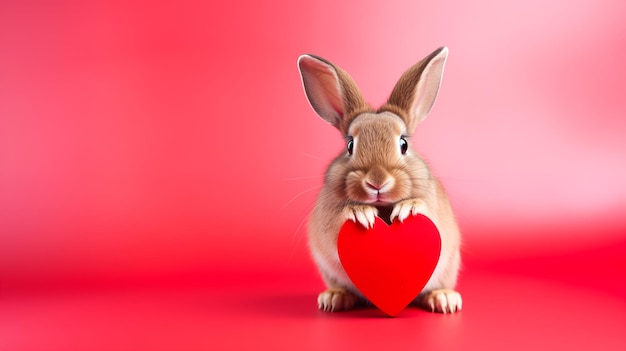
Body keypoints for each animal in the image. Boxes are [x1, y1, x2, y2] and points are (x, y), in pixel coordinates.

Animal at [294, 47, 460, 316]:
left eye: (403, 144)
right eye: (350, 145)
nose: (377, 181)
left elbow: (425, 208)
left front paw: (407, 208)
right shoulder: (328, 218)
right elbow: (338, 220)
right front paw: (361, 213)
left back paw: (444, 299)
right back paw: (334, 298)